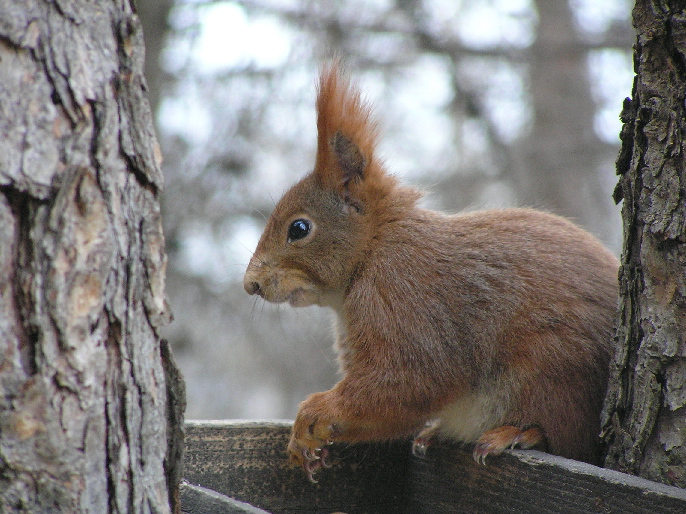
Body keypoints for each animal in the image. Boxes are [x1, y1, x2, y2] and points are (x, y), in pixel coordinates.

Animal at [245, 64, 620, 480]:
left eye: (299, 228)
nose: (251, 284)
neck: (372, 252)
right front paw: (313, 445)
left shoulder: (405, 301)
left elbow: (407, 384)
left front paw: (313, 413)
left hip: (553, 371)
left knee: (561, 434)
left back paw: (516, 433)